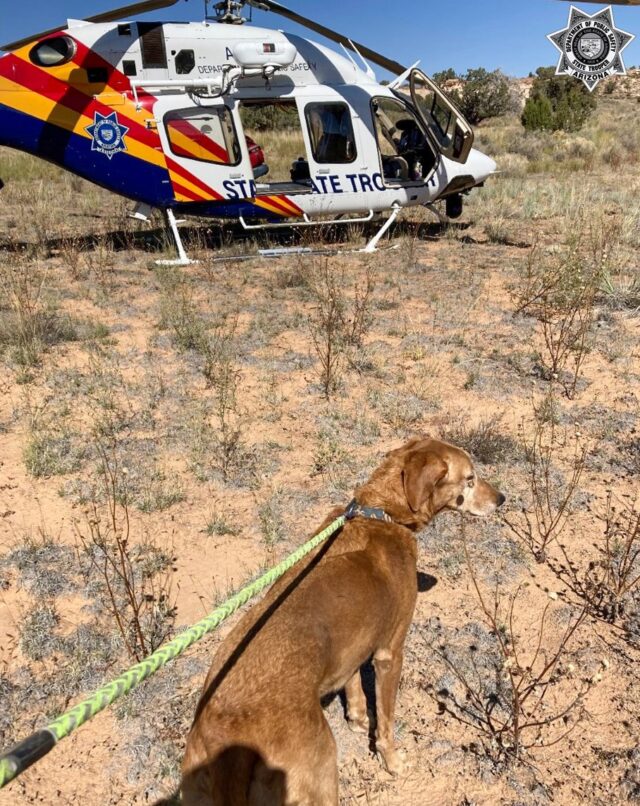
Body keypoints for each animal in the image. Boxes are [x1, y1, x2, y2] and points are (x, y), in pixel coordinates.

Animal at [180, 438, 504, 804]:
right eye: (470, 479)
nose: (502, 499)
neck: (382, 514)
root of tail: (228, 735)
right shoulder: (390, 653)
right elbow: (386, 721)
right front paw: (392, 761)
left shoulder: (353, 644)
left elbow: (352, 685)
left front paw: (359, 720)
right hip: (319, 775)